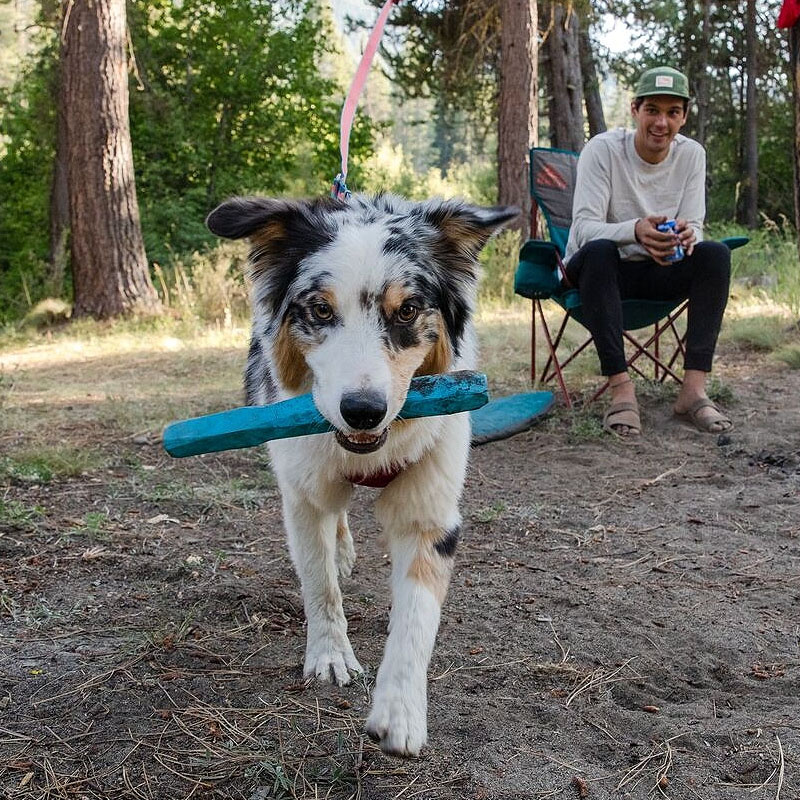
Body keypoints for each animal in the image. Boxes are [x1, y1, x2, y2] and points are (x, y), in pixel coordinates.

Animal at [206, 194, 520, 756]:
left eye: (408, 310)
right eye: (320, 309)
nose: (362, 411)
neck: (366, 451)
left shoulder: (430, 511)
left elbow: (417, 616)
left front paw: (400, 711)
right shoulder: (304, 491)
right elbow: (319, 581)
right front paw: (330, 656)